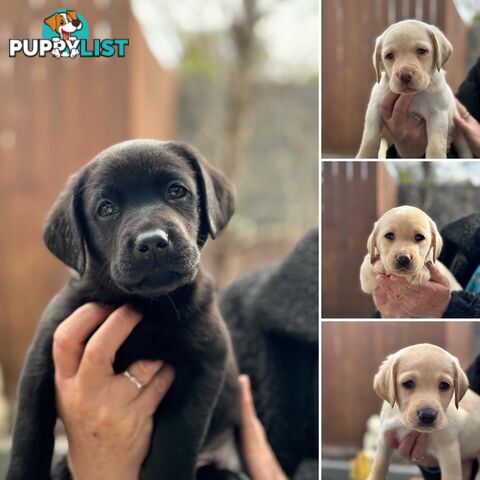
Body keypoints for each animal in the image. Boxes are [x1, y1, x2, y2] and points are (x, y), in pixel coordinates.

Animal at [8, 140, 244, 480]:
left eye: (177, 191)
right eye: (106, 208)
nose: (153, 241)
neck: (147, 304)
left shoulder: (204, 365)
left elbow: (175, 445)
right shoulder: (41, 357)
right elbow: (29, 434)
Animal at [358, 19, 470, 158]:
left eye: (421, 51)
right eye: (389, 56)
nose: (404, 75)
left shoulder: (437, 114)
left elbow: (436, 144)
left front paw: (436, 157)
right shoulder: (375, 107)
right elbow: (370, 138)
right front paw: (363, 156)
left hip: (460, 135)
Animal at [370, 344, 480, 480]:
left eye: (444, 385)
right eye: (408, 383)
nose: (428, 416)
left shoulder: (449, 450)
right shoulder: (384, 439)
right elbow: (378, 468)